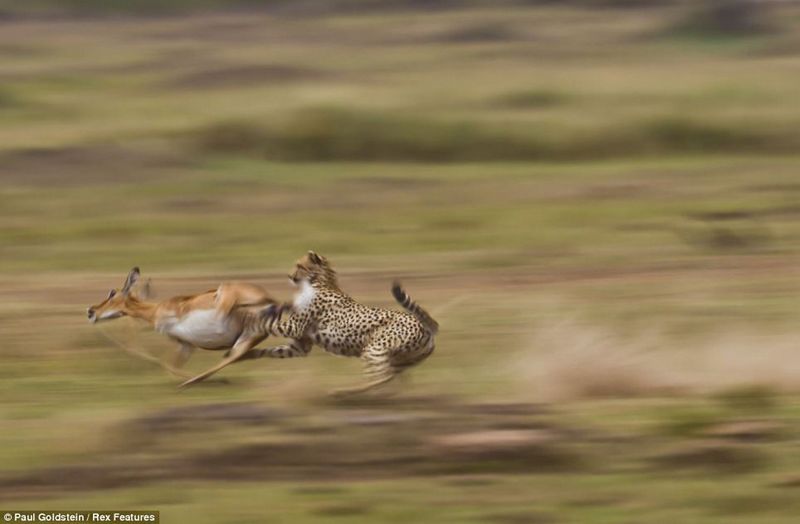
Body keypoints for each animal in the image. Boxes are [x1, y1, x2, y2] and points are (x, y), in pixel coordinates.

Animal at [250, 250, 438, 392]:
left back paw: (345, 391)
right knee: (394, 377)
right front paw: (249, 354)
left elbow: (264, 323)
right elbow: (273, 349)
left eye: (300, 266)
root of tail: (424, 325)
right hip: (401, 360)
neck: (319, 281)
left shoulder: (293, 327)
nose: (289, 275)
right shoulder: (300, 346)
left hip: (374, 349)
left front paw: (250, 318)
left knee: (381, 378)